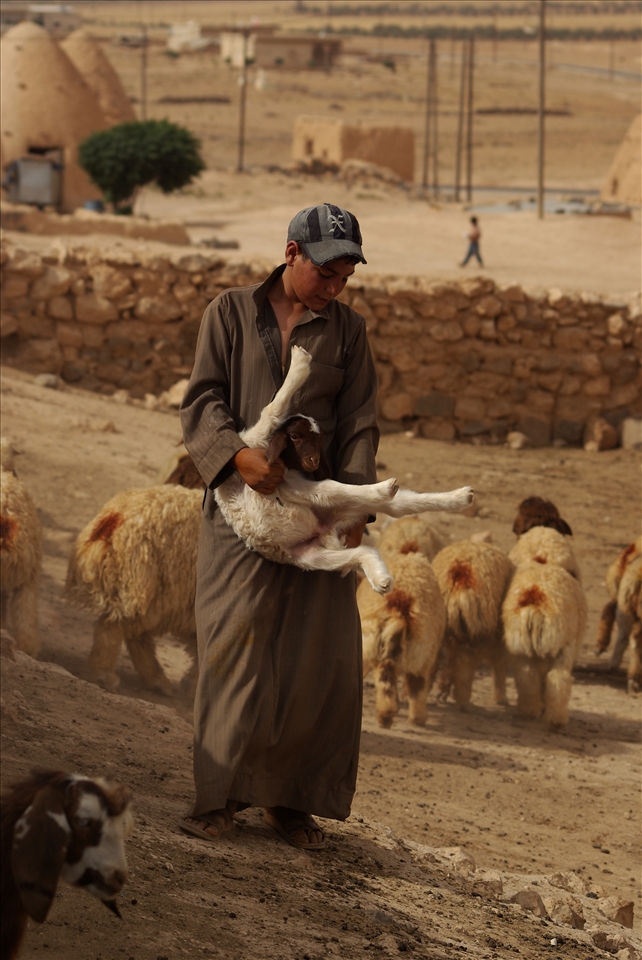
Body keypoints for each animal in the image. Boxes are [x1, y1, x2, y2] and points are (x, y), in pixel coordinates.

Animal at [65, 485, 202, 694]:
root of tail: (115, 515)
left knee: (136, 636)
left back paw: (157, 680)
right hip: (148, 589)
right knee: (115, 628)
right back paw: (106, 675)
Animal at [215, 346, 474, 595]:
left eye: (320, 440)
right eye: (295, 437)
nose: (314, 461)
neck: (284, 468)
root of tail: (326, 527)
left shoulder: (281, 473)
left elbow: (273, 413)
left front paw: (299, 362)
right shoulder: (262, 457)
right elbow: (271, 414)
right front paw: (300, 362)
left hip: (334, 521)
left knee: (389, 507)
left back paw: (457, 497)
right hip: (312, 555)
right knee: (364, 543)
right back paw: (382, 574)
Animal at [359, 550, 446, 728]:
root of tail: (401, 603)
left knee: (388, 680)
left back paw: (387, 716)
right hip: (422, 649)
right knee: (416, 683)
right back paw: (415, 718)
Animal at [431, 541, 514, 709]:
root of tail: (461, 575)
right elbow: (500, 662)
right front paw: (501, 698)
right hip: (479, 628)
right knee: (464, 660)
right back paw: (462, 700)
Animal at [502, 562, 587, 728]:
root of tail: (534, 597)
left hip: (520, 649)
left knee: (527, 676)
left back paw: (530, 710)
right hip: (563, 647)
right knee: (557, 678)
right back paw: (556, 718)